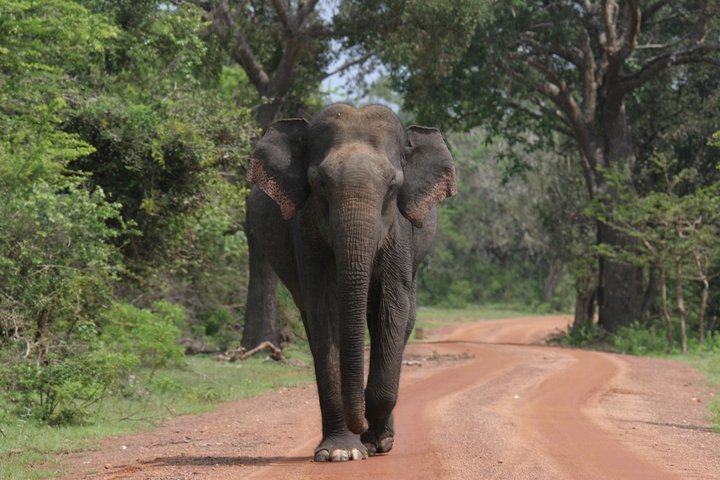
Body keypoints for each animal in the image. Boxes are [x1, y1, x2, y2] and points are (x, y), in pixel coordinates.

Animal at [243, 104, 456, 462]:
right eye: (319, 183)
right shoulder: (305, 228)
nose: (362, 428)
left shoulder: (400, 230)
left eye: (393, 185)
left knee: (402, 322)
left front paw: (374, 442)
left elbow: (392, 306)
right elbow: (324, 308)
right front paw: (340, 453)